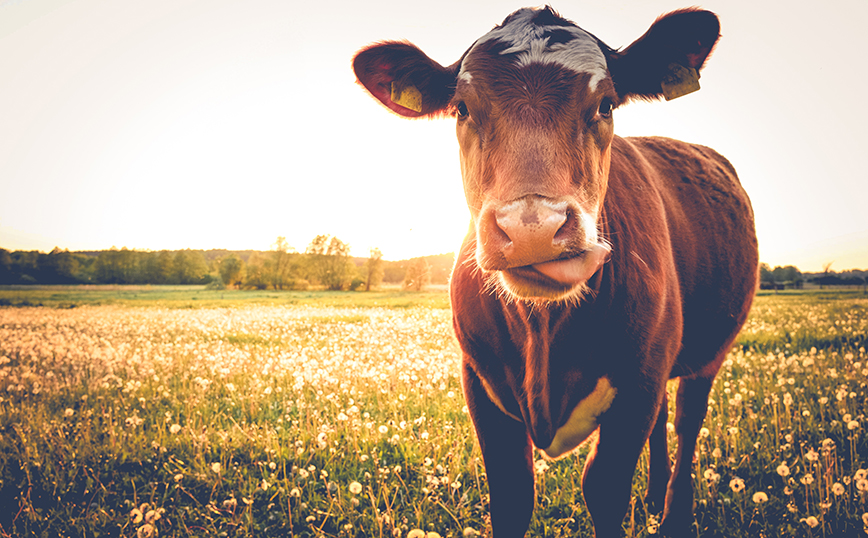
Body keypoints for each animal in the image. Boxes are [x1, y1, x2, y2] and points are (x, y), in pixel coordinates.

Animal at [352, 5, 760, 536]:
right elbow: (512, 494)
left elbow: (603, 487)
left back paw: (673, 515)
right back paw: (653, 498)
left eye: (606, 105)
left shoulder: (640, 381)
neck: (544, 331)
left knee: (688, 420)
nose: (533, 228)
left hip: (708, 353)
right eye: (461, 108)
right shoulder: (479, 381)